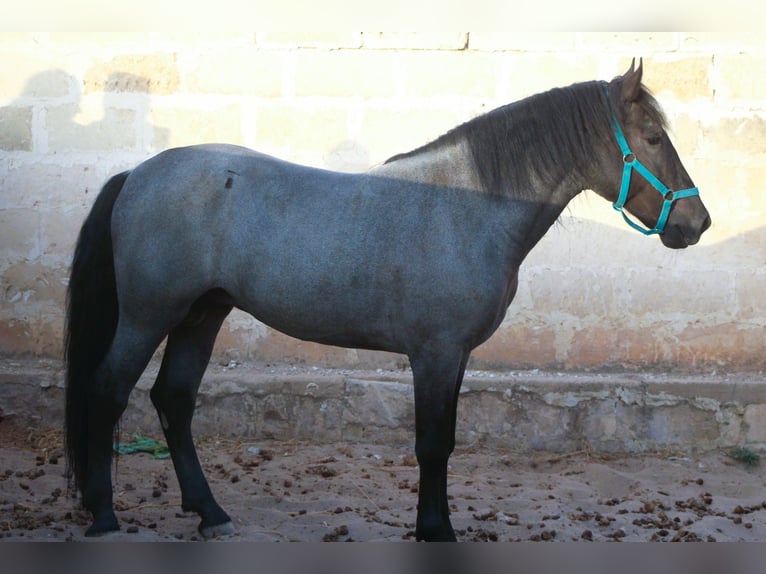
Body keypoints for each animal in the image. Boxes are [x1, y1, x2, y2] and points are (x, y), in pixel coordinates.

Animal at [64, 59, 711, 541]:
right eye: (653, 137)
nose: (697, 222)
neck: (468, 205)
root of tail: (137, 174)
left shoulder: (456, 356)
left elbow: (444, 440)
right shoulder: (435, 355)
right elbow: (432, 444)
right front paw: (436, 530)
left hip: (203, 314)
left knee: (173, 400)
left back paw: (211, 513)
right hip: (148, 316)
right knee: (108, 390)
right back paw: (104, 515)